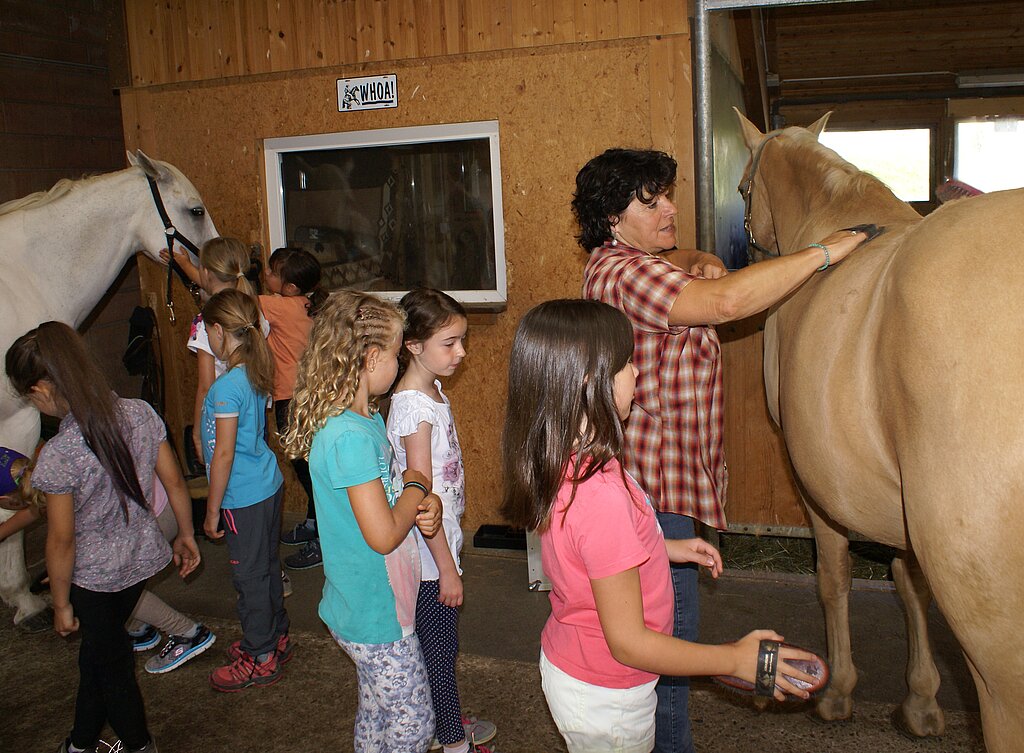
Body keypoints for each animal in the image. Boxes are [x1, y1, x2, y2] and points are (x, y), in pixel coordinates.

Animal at [1, 151, 218, 631]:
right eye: (196, 210)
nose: (235, 269)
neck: (29, 274)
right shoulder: (18, 416)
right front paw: (24, 599)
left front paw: (22, 598)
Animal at [737, 113, 1024, 753]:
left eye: (743, 188)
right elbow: (909, 582)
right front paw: (920, 699)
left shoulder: (817, 486)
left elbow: (835, 577)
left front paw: (839, 691)